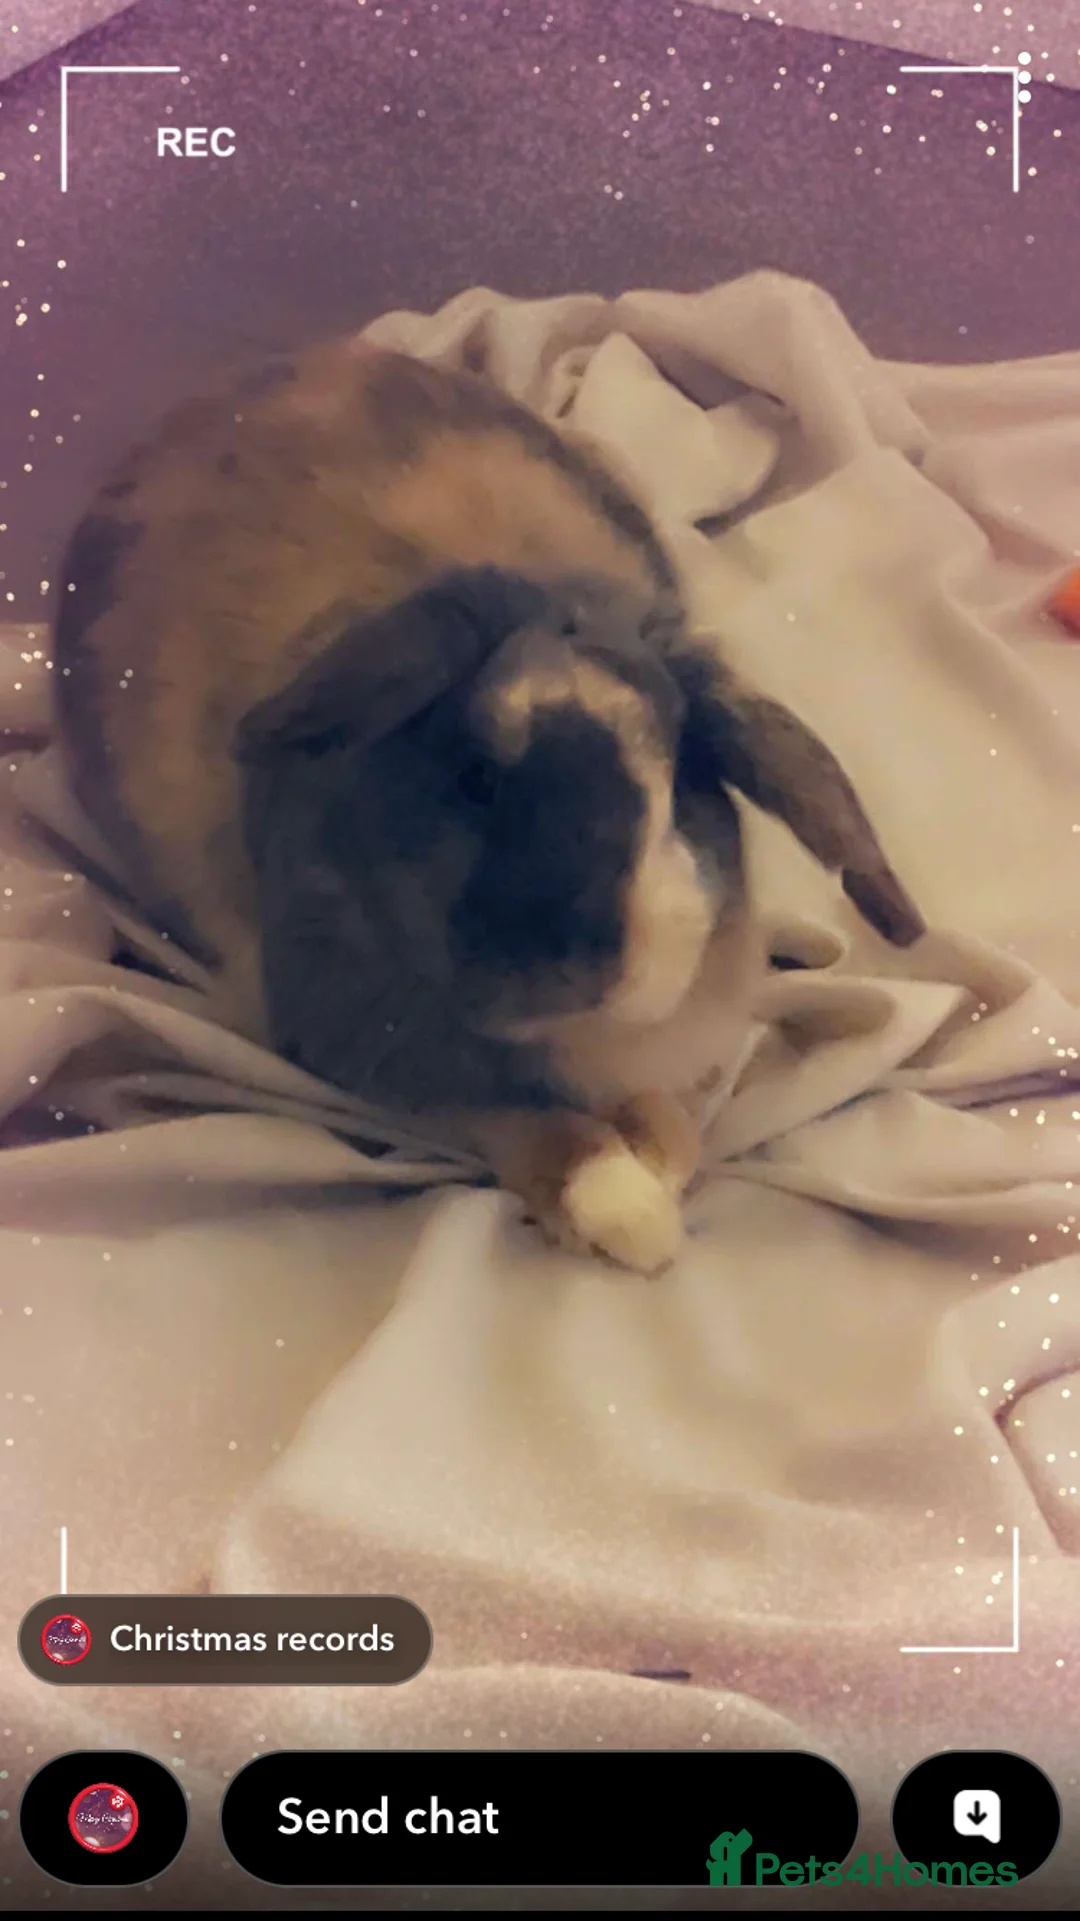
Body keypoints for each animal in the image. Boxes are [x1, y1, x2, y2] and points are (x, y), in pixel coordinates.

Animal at [52, 332, 925, 1274]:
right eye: (474, 776)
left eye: (679, 783)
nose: (582, 965)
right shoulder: (376, 1049)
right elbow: (537, 1129)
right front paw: (629, 1215)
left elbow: (659, 1112)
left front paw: (658, 1163)